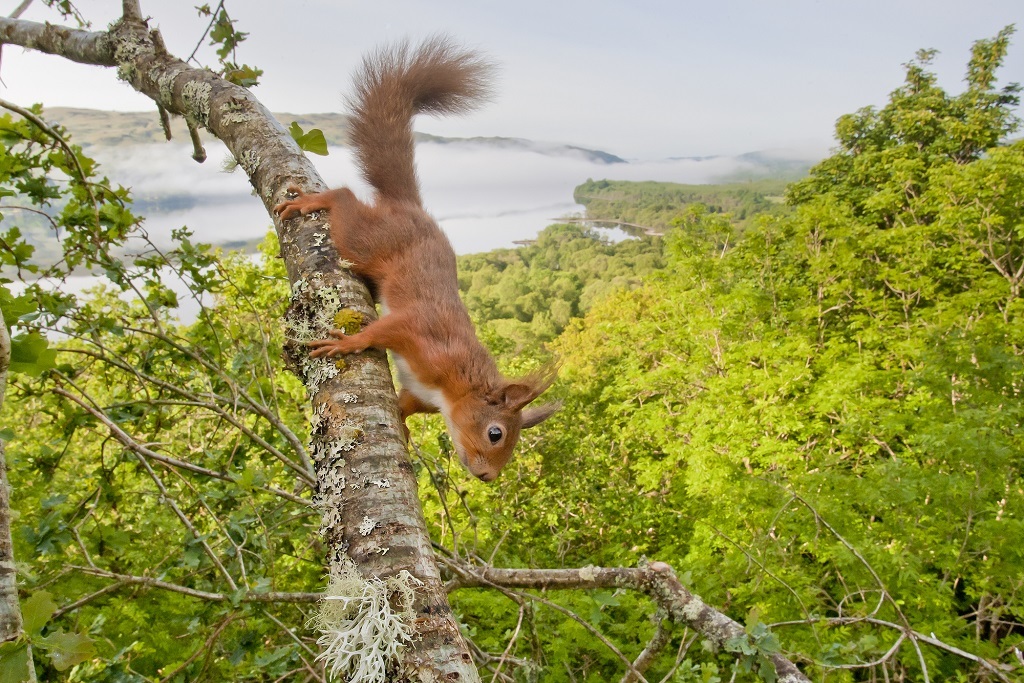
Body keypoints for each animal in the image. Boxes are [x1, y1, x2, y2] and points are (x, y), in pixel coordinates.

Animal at [274, 37, 561, 483]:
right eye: (496, 433)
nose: (488, 477)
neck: (455, 387)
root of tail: (411, 207)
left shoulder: (417, 392)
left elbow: (405, 406)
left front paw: (404, 429)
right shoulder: (420, 335)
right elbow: (380, 332)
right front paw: (346, 343)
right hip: (369, 241)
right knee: (345, 200)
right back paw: (316, 201)